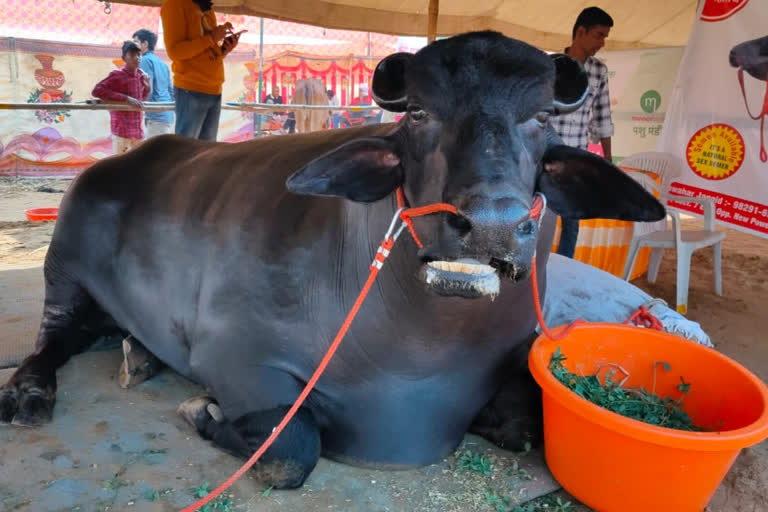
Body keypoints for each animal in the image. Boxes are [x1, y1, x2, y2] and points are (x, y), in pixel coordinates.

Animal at [0, 31, 664, 488]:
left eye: (541, 116)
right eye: (419, 112)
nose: (494, 225)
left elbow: (524, 428)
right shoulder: (236, 356)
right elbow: (291, 449)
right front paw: (200, 410)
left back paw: (138, 356)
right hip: (64, 270)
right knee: (54, 337)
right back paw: (30, 394)